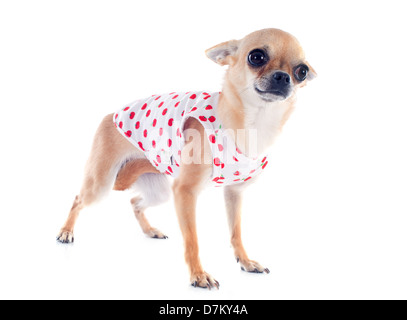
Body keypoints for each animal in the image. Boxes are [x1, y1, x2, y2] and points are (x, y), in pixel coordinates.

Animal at [57, 28, 318, 288]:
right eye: (256, 57)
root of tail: (111, 114)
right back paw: (66, 232)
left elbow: (236, 232)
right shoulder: (185, 192)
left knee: (134, 202)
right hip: (102, 183)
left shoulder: (233, 193)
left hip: (159, 191)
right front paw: (198, 275)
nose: (283, 77)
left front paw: (245, 261)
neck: (256, 122)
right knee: (78, 199)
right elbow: (192, 239)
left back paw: (150, 230)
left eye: (302, 71)